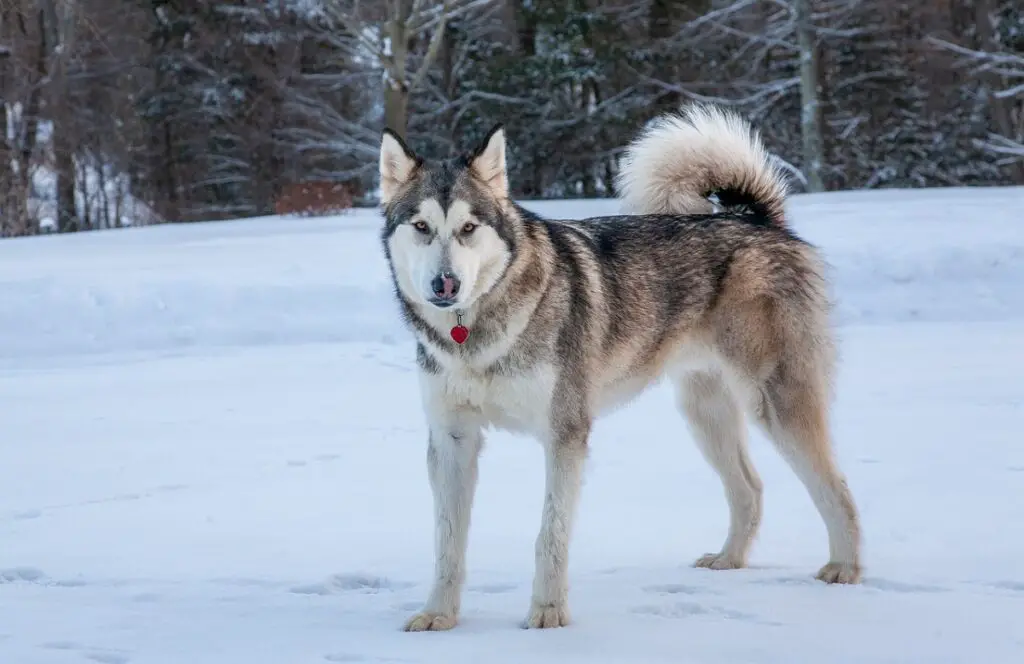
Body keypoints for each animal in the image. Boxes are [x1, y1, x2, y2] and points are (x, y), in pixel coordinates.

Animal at [380, 103, 860, 631]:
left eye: (469, 228)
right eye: (421, 227)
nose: (445, 284)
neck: (474, 334)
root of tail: (756, 221)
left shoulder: (565, 434)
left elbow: (550, 535)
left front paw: (548, 613)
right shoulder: (452, 439)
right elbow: (448, 543)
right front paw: (439, 615)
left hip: (776, 404)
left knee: (837, 488)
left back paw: (845, 569)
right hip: (704, 413)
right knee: (750, 488)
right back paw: (728, 561)